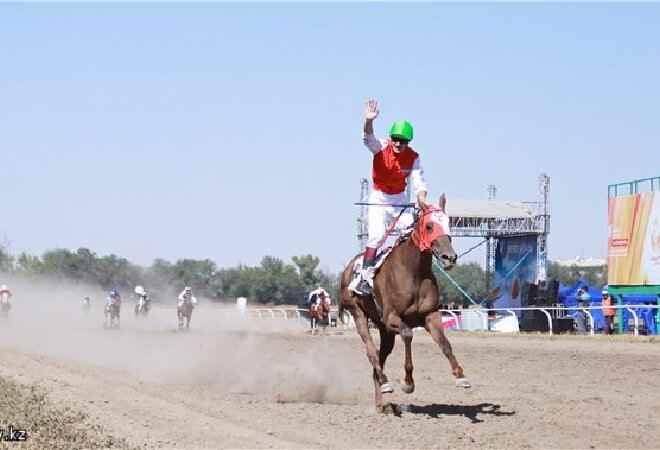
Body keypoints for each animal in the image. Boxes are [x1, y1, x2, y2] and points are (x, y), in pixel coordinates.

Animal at [340, 195, 470, 414]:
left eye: (449, 223)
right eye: (429, 226)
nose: (449, 257)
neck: (414, 272)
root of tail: (348, 268)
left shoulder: (430, 316)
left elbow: (445, 344)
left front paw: (460, 375)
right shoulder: (392, 318)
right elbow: (408, 334)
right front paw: (408, 382)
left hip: (385, 331)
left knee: (379, 360)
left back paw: (381, 402)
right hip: (359, 314)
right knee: (372, 352)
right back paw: (385, 383)